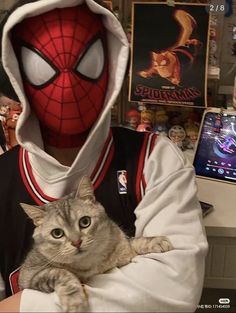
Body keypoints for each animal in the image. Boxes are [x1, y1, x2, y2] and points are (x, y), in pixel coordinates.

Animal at [18, 174, 173, 310]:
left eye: (85, 222)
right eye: (57, 233)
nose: (76, 242)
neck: (93, 262)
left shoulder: (122, 244)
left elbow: (133, 241)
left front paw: (156, 241)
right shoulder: (31, 276)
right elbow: (61, 273)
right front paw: (75, 302)